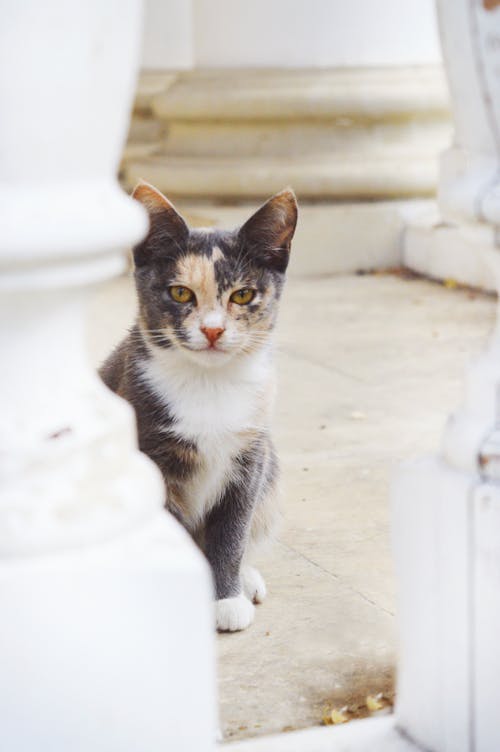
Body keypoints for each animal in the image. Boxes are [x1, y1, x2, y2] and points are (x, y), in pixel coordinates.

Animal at [99, 181, 298, 628]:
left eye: (242, 295)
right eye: (180, 292)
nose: (212, 330)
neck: (209, 383)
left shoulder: (250, 455)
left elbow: (232, 531)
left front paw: (228, 596)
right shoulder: (148, 450)